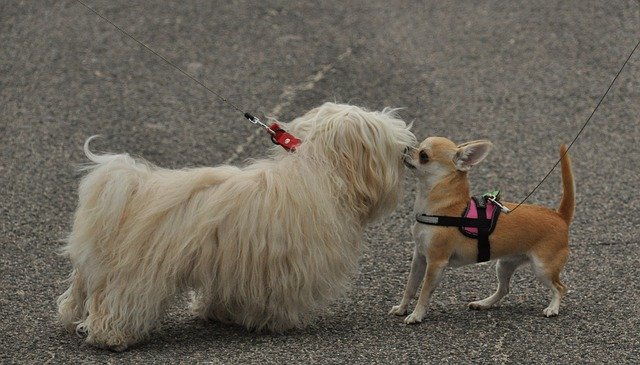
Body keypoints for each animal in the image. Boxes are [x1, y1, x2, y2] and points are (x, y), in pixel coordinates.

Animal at [57, 101, 418, 350]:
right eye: (385, 139)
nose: (407, 147)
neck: (319, 169)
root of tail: (129, 189)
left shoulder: (236, 266)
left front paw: (223, 314)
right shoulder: (286, 263)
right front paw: (279, 322)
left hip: (92, 267)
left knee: (79, 294)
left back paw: (72, 318)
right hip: (137, 273)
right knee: (119, 303)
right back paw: (112, 336)